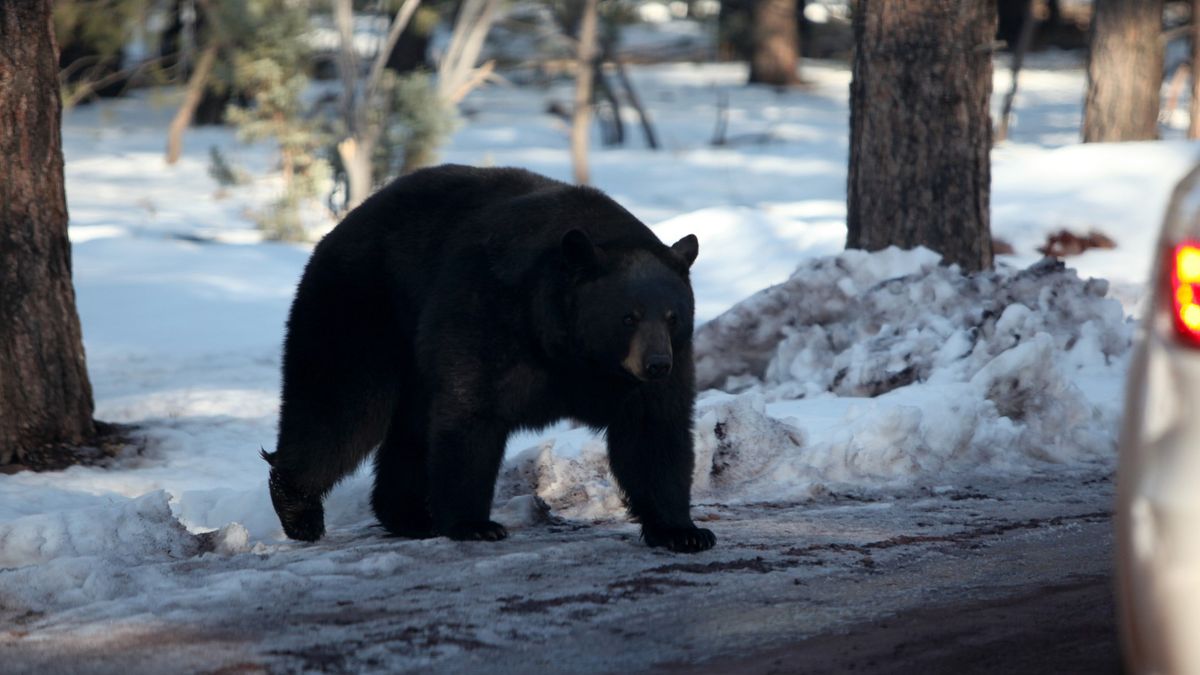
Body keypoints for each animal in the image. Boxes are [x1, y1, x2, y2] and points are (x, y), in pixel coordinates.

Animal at [262, 164, 710, 552]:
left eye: (673, 316)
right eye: (628, 316)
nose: (656, 364)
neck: (573, 350)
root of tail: (340, 225)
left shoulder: (654, 374)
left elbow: (655, 432)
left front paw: (684, 531)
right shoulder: (490, 313)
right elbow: (471, 414)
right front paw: (474, 524)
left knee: (406, 429)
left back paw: (409, 515)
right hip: (365, 309)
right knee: (342, 409)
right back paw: (300, 510)